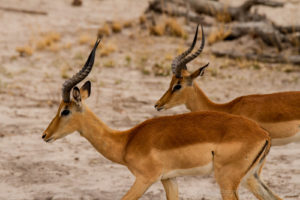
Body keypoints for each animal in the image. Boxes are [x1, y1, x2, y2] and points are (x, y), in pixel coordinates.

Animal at [41, 38, 282, 200]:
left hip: (227, 181)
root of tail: (263, 134)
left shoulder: (145, 179)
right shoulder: (169, 179)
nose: (45, 135)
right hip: (251, 177)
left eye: (65, 111)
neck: (126, 141)